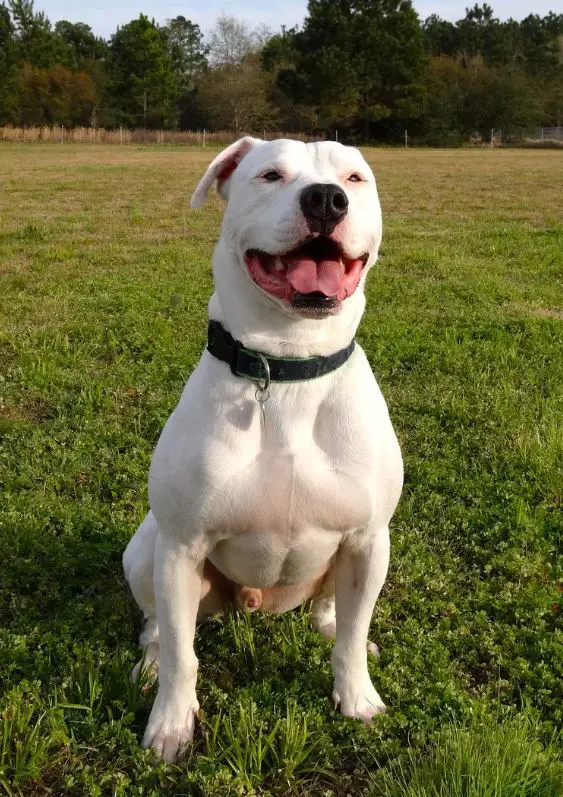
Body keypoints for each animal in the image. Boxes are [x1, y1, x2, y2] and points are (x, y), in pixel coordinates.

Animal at [124, 137, 406, 760]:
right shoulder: (180, 547)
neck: (289, 364)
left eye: (356, 178)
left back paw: (333, 627)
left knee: (336, 613)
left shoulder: (368, 537)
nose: (326, 199)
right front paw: (172, 724)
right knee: (159, 628)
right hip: (146, 551)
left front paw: (358, 699)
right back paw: (150, 663)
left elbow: (352, 639)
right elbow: (183, 655)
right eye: (270, 175)